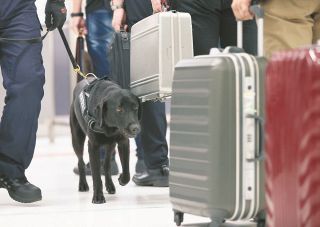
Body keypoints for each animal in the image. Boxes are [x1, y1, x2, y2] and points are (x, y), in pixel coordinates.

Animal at [70, 76, 140, 204]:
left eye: (135, 108)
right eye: (119, 109)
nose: (135, 128)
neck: (111, 127)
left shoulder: (123, 142)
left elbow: (126, 171)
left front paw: (122, 179)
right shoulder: (93, 146)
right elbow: (96, 175)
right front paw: (98, 196)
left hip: (110, 145)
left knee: (107, 164)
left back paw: (110, 185)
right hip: (77, 139)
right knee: (80, 161)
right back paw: (83, 184)